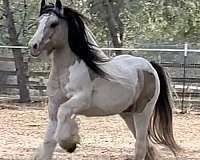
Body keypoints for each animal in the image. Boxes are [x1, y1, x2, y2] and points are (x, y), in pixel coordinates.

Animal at [28, 0, 180, 159]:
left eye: (53, 23)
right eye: (38, 22)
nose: (33, 46)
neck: (64, 74)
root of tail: (150, 66)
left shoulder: (81, 100)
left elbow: (63, 115)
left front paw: (70, 143)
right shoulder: (53, 106)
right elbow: (48, 143)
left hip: (142, 112)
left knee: (141, 145)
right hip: (127, 114)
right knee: (148, 146)